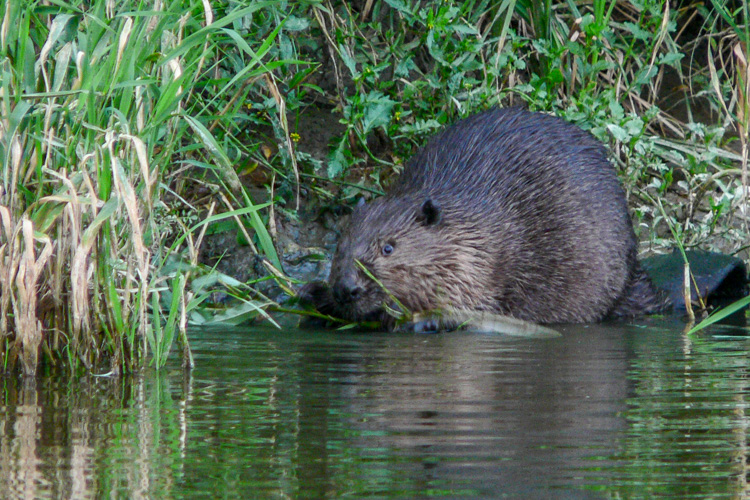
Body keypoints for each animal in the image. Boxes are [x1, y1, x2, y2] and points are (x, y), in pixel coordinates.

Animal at [302, 107, 668, 330]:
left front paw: (415, 320)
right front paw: (312, 293)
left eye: (388, 248)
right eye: (340, 245)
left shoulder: (482, 265)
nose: (347, 289)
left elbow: (472, 306)